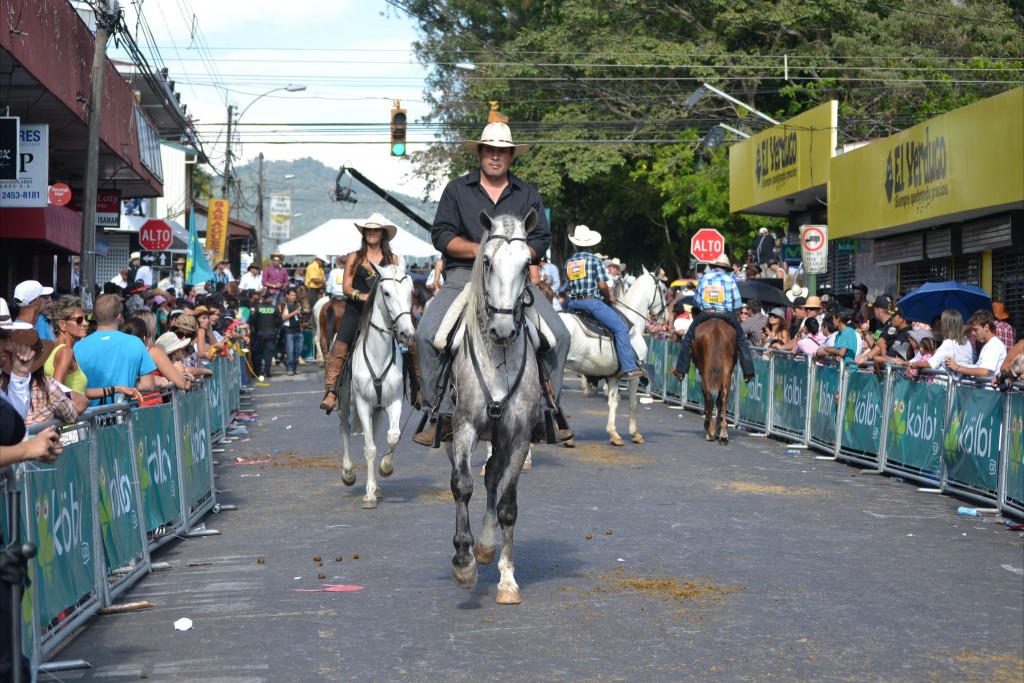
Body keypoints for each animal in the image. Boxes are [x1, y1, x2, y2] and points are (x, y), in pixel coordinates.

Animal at [337, 262, 413, 507]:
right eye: (386, 293)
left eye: (410, 291)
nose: (407, 333)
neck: (378, 357)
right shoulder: (362, 404)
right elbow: (369, 448)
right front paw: (369, 494)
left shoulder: (394, 402)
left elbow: (392, 436)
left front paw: (386, 468)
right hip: (344, 403)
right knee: (345, 429)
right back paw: (348, 474)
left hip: (377, 410)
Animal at [557, 266, 667, 448]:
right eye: (664, 290)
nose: (666, 317)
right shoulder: (634, 375)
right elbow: (633, 404)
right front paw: (635, 434)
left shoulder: (614, 376)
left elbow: (613, 403)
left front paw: (614, 434)